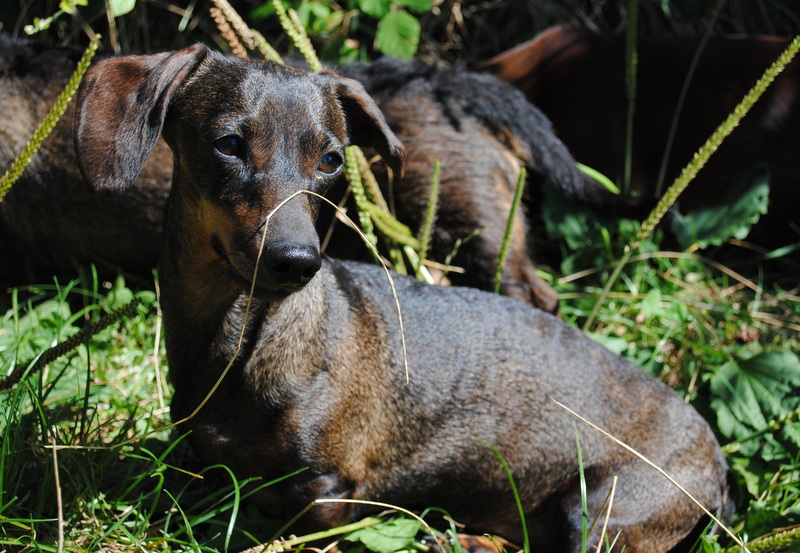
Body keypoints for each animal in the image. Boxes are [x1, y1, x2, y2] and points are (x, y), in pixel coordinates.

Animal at [73, 44, 732, 552]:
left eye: (330, 159)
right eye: (229, 144)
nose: (298, 261)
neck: (245, 340)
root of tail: (719, 464)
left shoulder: (327, 489)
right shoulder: (197, 468)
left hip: (600, 508)